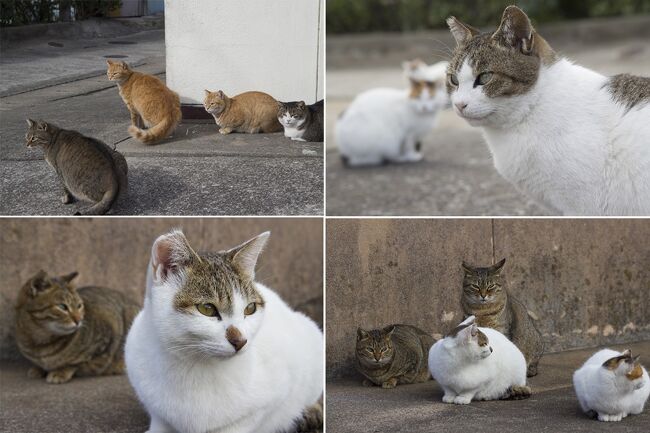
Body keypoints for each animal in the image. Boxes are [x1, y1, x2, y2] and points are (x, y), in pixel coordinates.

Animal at [124, 228, 322, 430]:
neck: (194, 366)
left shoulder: (274, 395)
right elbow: (160, 420)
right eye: (207, 309)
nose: (241, 341)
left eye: (250, 308)